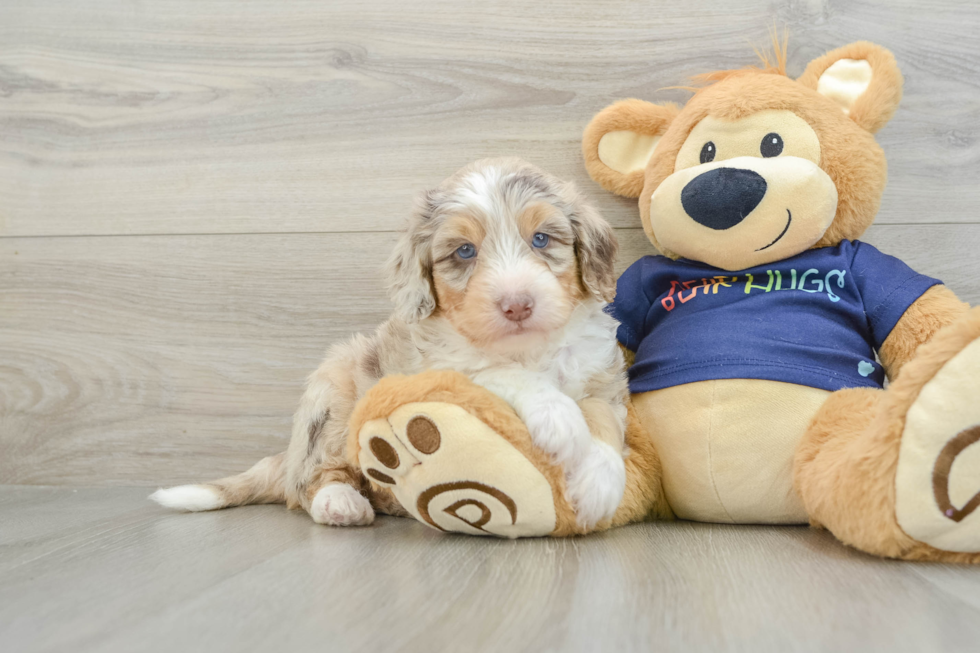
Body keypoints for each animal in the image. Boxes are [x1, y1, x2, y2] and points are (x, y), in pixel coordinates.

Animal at [153, 158, 628, 528]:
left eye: (541, 239)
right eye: (464, 252)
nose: (517, 305)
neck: (527, 347)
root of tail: (287, 457)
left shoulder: (602, 374)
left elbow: (605, 420)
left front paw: (601, 484)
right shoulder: (436, 369)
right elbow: (499, 372)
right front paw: (559, 417)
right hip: (333, 391)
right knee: (310, 480)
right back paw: (341, 502)